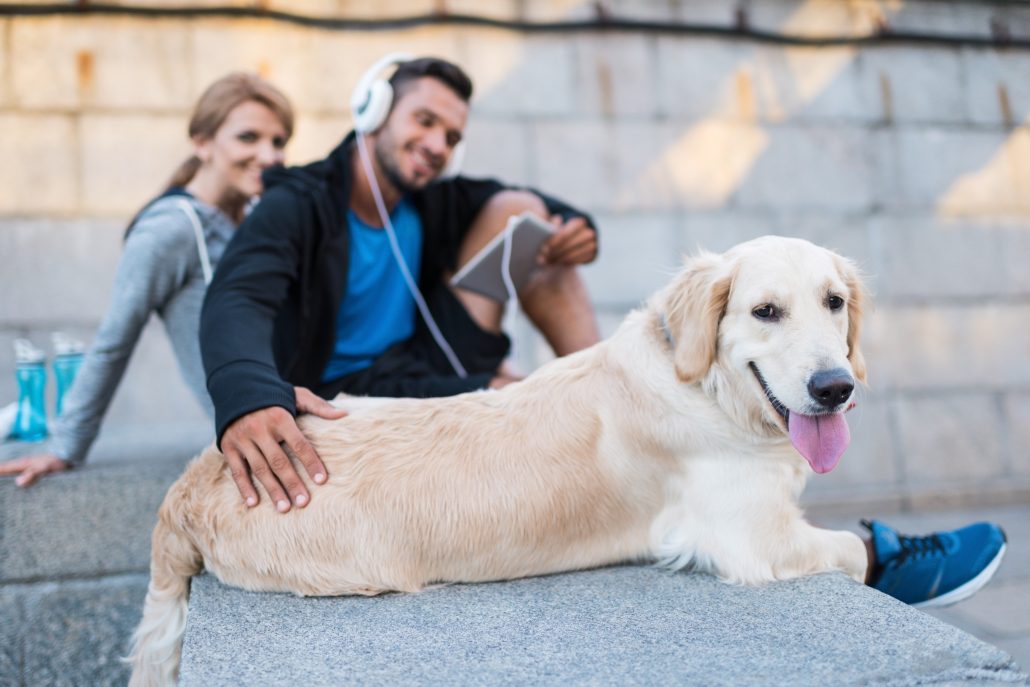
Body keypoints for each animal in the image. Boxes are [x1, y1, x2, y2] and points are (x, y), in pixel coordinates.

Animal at [126, 237, 869, 687]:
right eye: (765, 311)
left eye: (834, 302)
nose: (836, 387)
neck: (703, 384)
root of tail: (200, 474)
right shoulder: (755, 541)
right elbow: (859, 550)